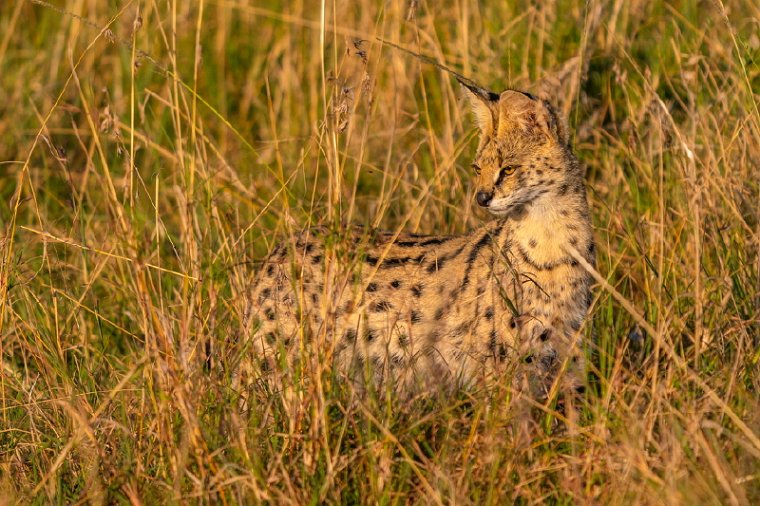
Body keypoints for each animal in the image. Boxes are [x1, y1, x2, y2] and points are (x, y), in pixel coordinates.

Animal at [243, 81, 592, 402]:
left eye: (508, 169)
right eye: (478, 167)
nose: (481, 198)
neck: (550, 238)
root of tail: (279, 249)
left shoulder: (568, 347)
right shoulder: (504, 362)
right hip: (278, 365)